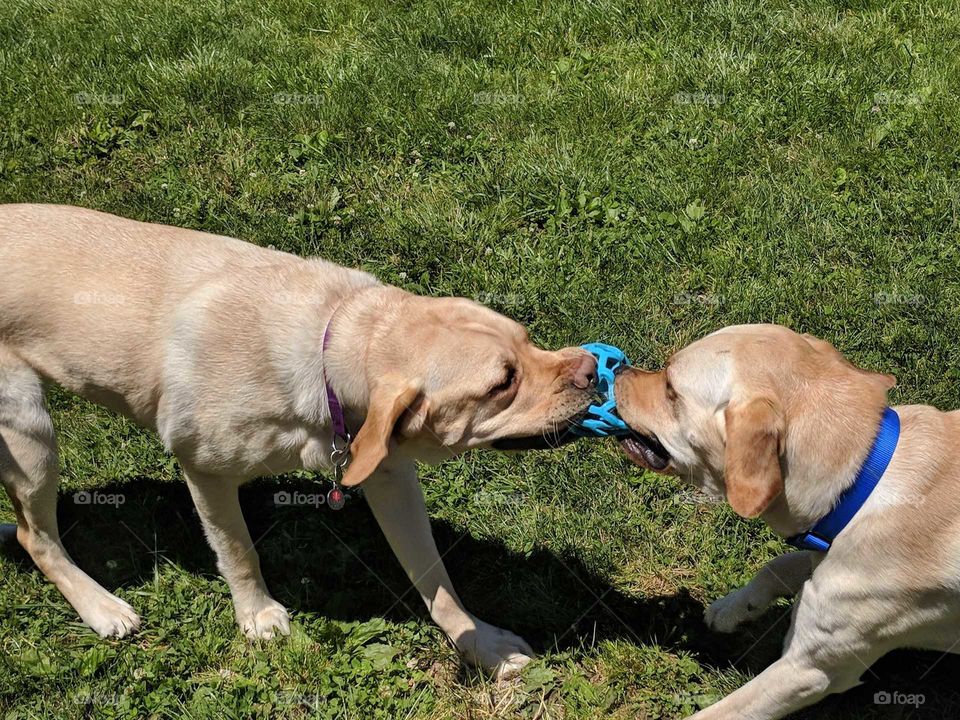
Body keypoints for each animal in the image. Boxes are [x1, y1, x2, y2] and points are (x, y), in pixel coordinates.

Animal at [0, 205, 596, 676]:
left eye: (528, 340)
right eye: (502, 383)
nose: (594, 370)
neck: (329, 349)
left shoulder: (388, 472)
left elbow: (435, 575)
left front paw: (480, 641)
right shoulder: (204, 467)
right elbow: (238, 550)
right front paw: (257, 614)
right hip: (29, 429)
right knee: (37, 537)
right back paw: (101, 608)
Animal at [616, 324, 960, 720]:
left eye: (670, 387)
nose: (617, 368)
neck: (859, 484)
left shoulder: (809, 669)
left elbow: (719, 713)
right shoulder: (820, 553)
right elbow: (777, 564)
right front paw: (733, 608)